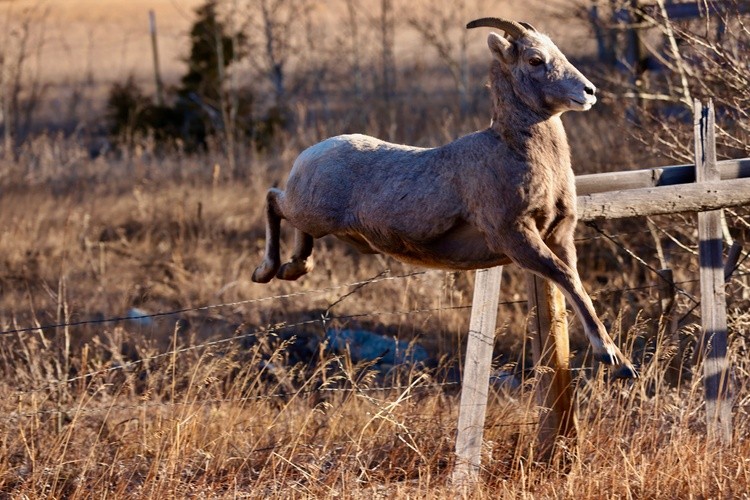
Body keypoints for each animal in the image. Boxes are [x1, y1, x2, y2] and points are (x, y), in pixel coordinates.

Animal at [251, 18, 636, 378]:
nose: (588, 91)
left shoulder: (559, 235)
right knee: (272, 199)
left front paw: (620, 361)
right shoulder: (516, 236)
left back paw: (293, 267)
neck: (515, 151)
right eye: (535, 59)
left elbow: (575, 282)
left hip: (318, 221)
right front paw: (614, 360)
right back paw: (265, 271)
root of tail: (310, 154)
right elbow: (567, 278)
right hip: (310, 211)